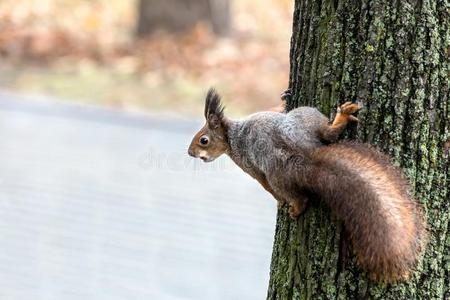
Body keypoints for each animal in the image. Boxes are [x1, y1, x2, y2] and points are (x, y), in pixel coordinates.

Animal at [186, 88, 426, 282]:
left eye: (203, 140)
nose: (190, 153)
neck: (232, 135)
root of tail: (303, 154)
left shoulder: (249, 166)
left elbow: (265, 186)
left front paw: (278, 202)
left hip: (288, 151)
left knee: (298, 196)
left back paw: (294, 207)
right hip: (307, 119)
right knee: (327, 134)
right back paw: (342, 117)